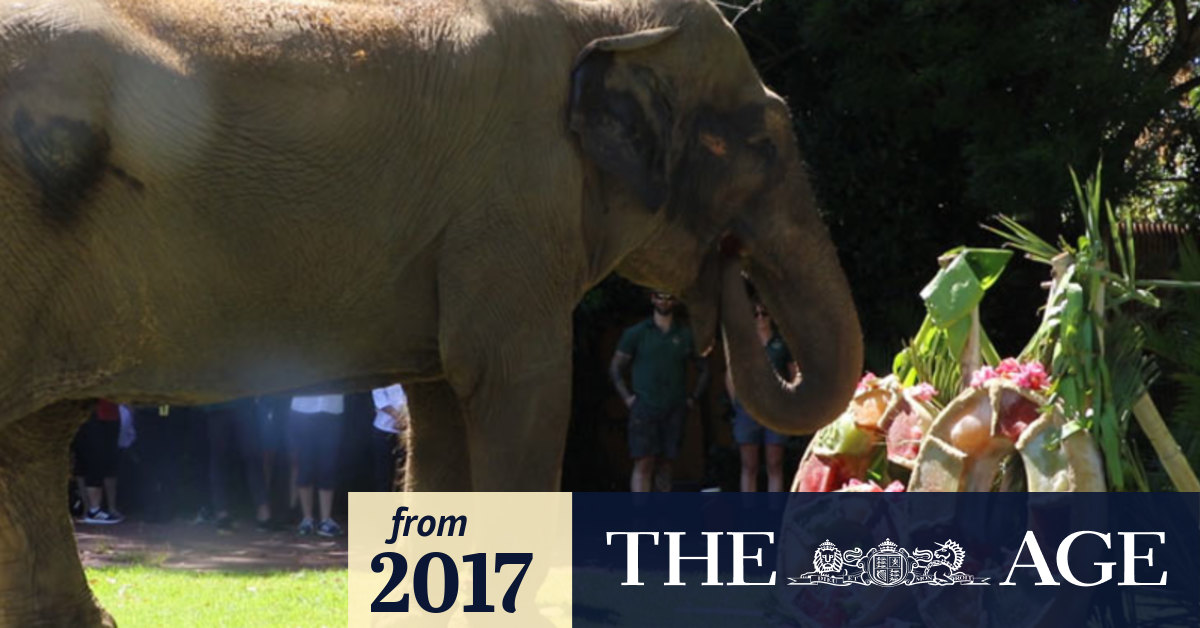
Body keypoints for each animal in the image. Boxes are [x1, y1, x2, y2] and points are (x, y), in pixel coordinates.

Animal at [0, 0, 862, 624]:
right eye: (760, 146)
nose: (725, 280)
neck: (605, 20)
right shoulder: (515, 201)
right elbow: (520, 390)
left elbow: (446, 402)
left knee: (33, 443)